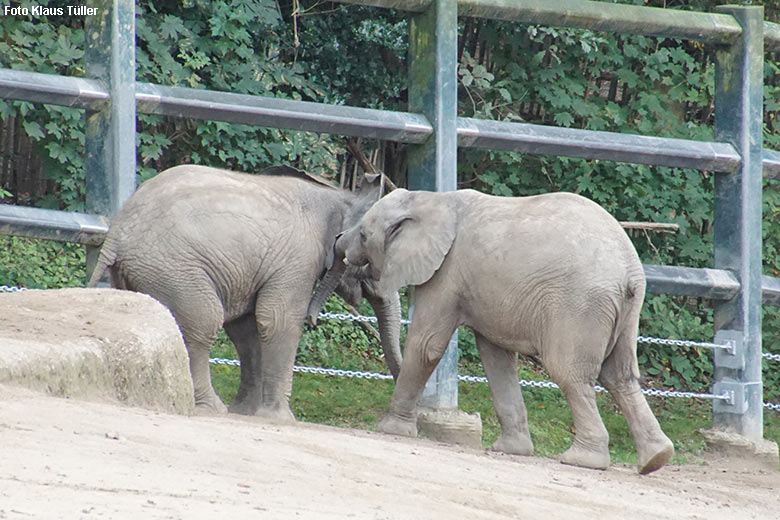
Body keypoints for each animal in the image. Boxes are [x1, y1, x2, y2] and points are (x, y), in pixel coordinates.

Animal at [87, 165, 400, 420]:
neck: (341, 196)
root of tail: (115, 233)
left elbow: (246, 328)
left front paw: (246, 412)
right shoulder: (298, 259)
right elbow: (278, 321)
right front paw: (280, 419)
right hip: (173, 269)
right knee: (204, 322)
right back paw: (211, 408)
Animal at [336, 188, 676, 476]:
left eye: (364, 235)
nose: (339, 240)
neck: (433, 199)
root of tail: (628, 270)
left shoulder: (447, 273)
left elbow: (427, 345)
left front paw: (389, 430)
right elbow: (496, 357)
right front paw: (510, 450)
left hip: (580, 306)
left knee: (571, 374)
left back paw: (582, 460)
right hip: (626, 310)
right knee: (620, 375)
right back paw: (655, 459)